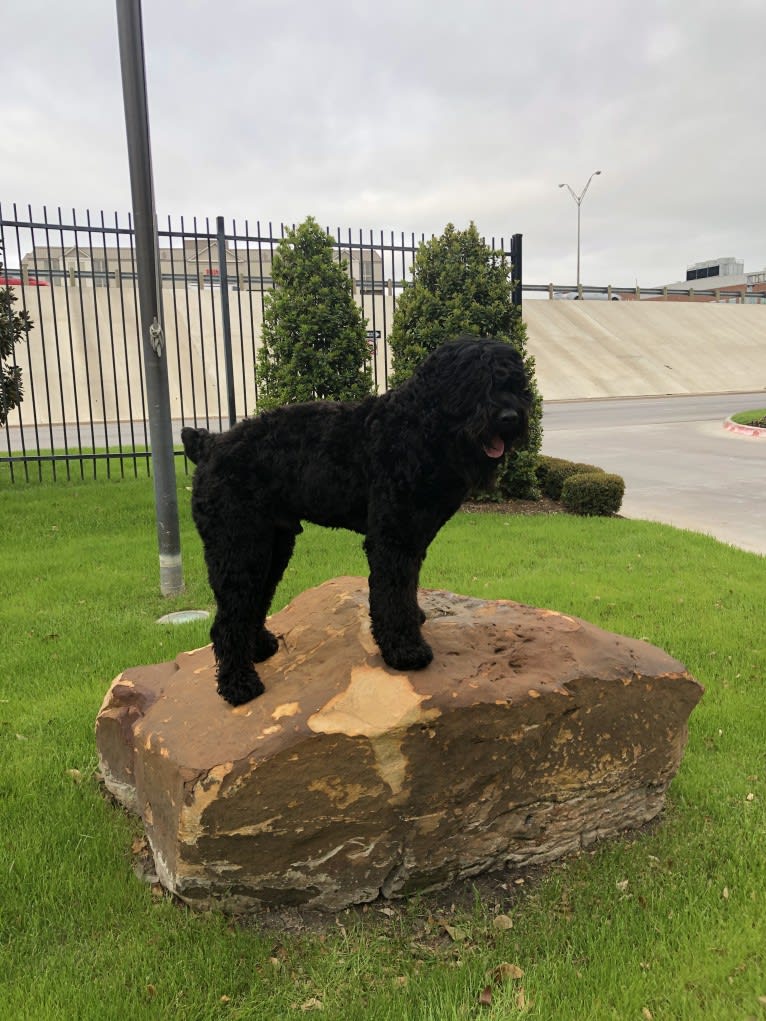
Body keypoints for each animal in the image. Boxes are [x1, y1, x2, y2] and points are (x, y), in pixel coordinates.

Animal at [184, 334, 535, 702]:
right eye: (474, 382)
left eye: (516, 382)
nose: (509, 417)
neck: (421, 428)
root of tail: (209, 444)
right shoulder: (393, 538)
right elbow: (391, 594)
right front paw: (405, 650)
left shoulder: (414, 538)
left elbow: (407, 588)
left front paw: (415, 618)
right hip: (238, 546)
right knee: (227, 619)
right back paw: (239, 684)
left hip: (272, 546)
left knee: (254, 600)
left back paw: (259, 648)